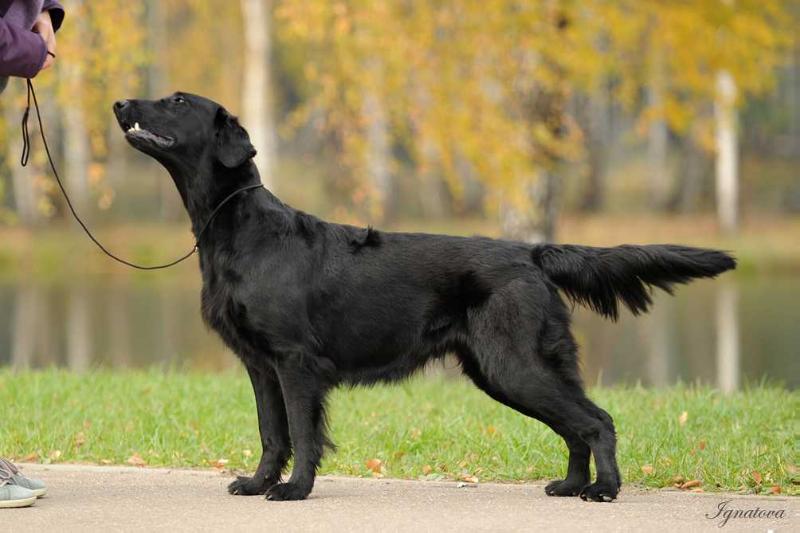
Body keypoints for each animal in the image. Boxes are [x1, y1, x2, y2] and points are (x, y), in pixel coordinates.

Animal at [112, 93, 736, 500]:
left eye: (175, 100)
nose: (119, 102)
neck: (236, 225)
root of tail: (533, 252)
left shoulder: (294, 361)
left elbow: (303, 433)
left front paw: (294, 490)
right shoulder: (260, 364)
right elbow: (272, 432)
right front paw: (258, 482)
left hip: (512, 365)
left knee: (596, 419)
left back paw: (603, 490)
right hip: (507, 369)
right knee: (576, 424)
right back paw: (569, 485)